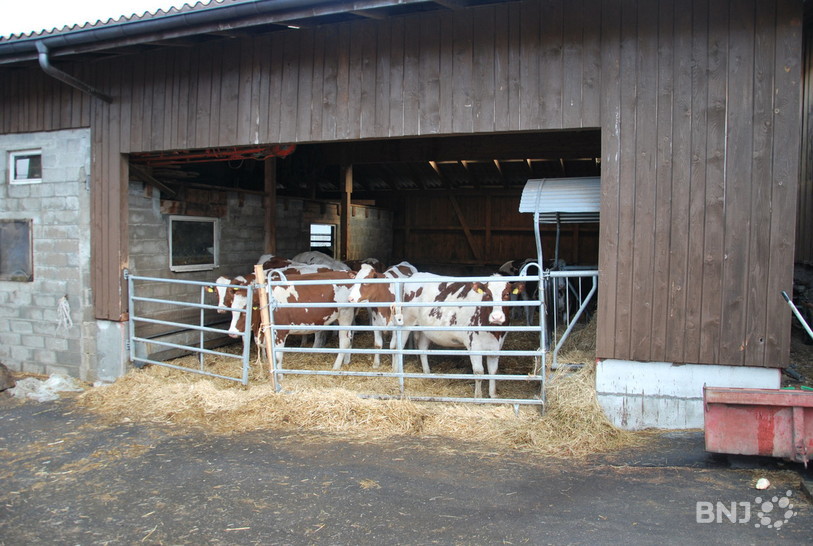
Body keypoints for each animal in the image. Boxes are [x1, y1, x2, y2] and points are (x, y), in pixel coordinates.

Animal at [228, 270, 358, 370]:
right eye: (232, 309)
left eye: (245, 310)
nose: (232, 333)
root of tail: (347, 272)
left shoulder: (280, 331)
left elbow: (278, 356)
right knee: (350, 338)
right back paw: (346, 361)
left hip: (345, 315)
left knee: (344, 341)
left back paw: (336, 366)